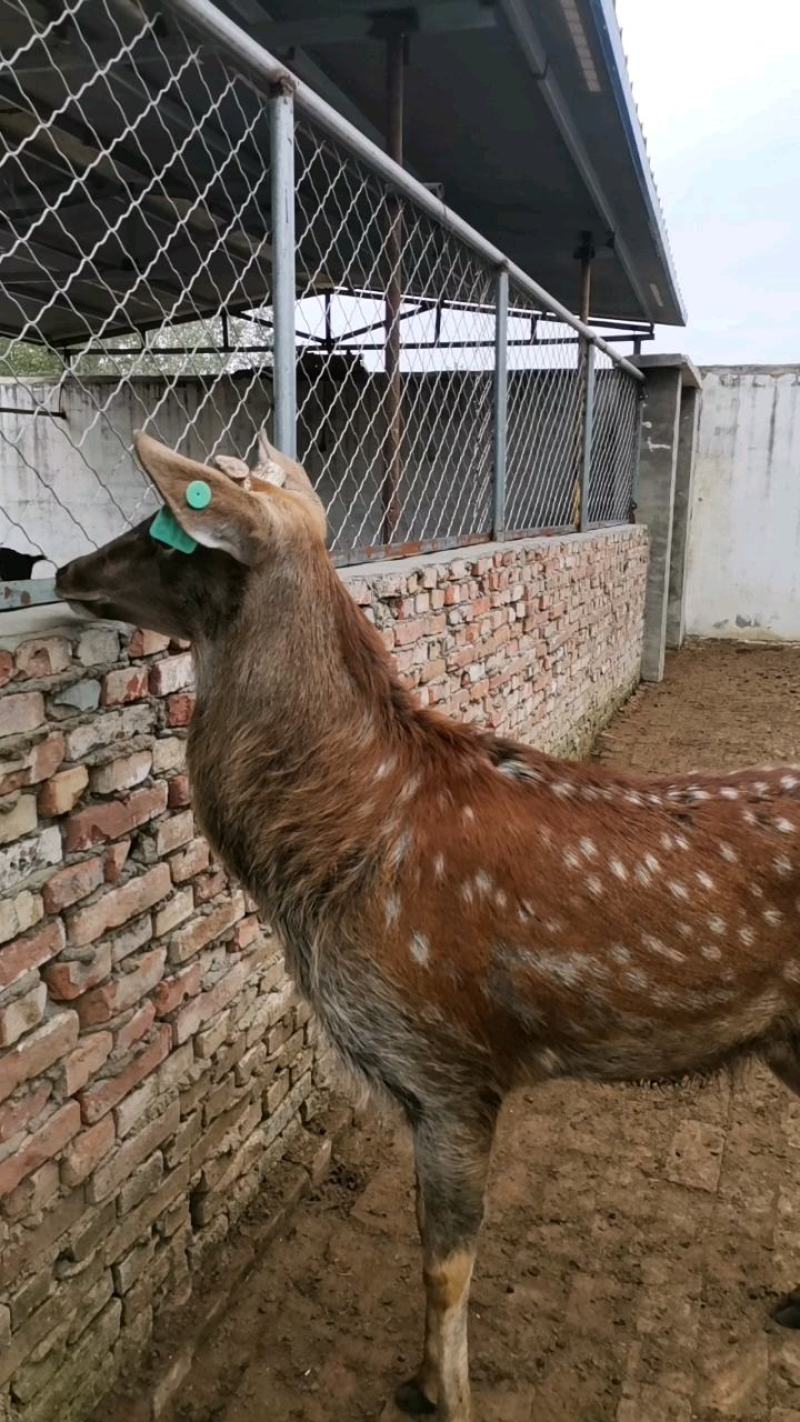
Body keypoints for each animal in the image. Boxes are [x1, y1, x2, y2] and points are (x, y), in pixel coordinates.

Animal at [55, 428, 800, 1421]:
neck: (332, 865)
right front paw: (417, 1380)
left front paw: (443, 1395)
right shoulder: (418, 1082)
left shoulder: (452, 1061)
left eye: (166, 528)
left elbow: (445, 1265)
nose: (64, 570)